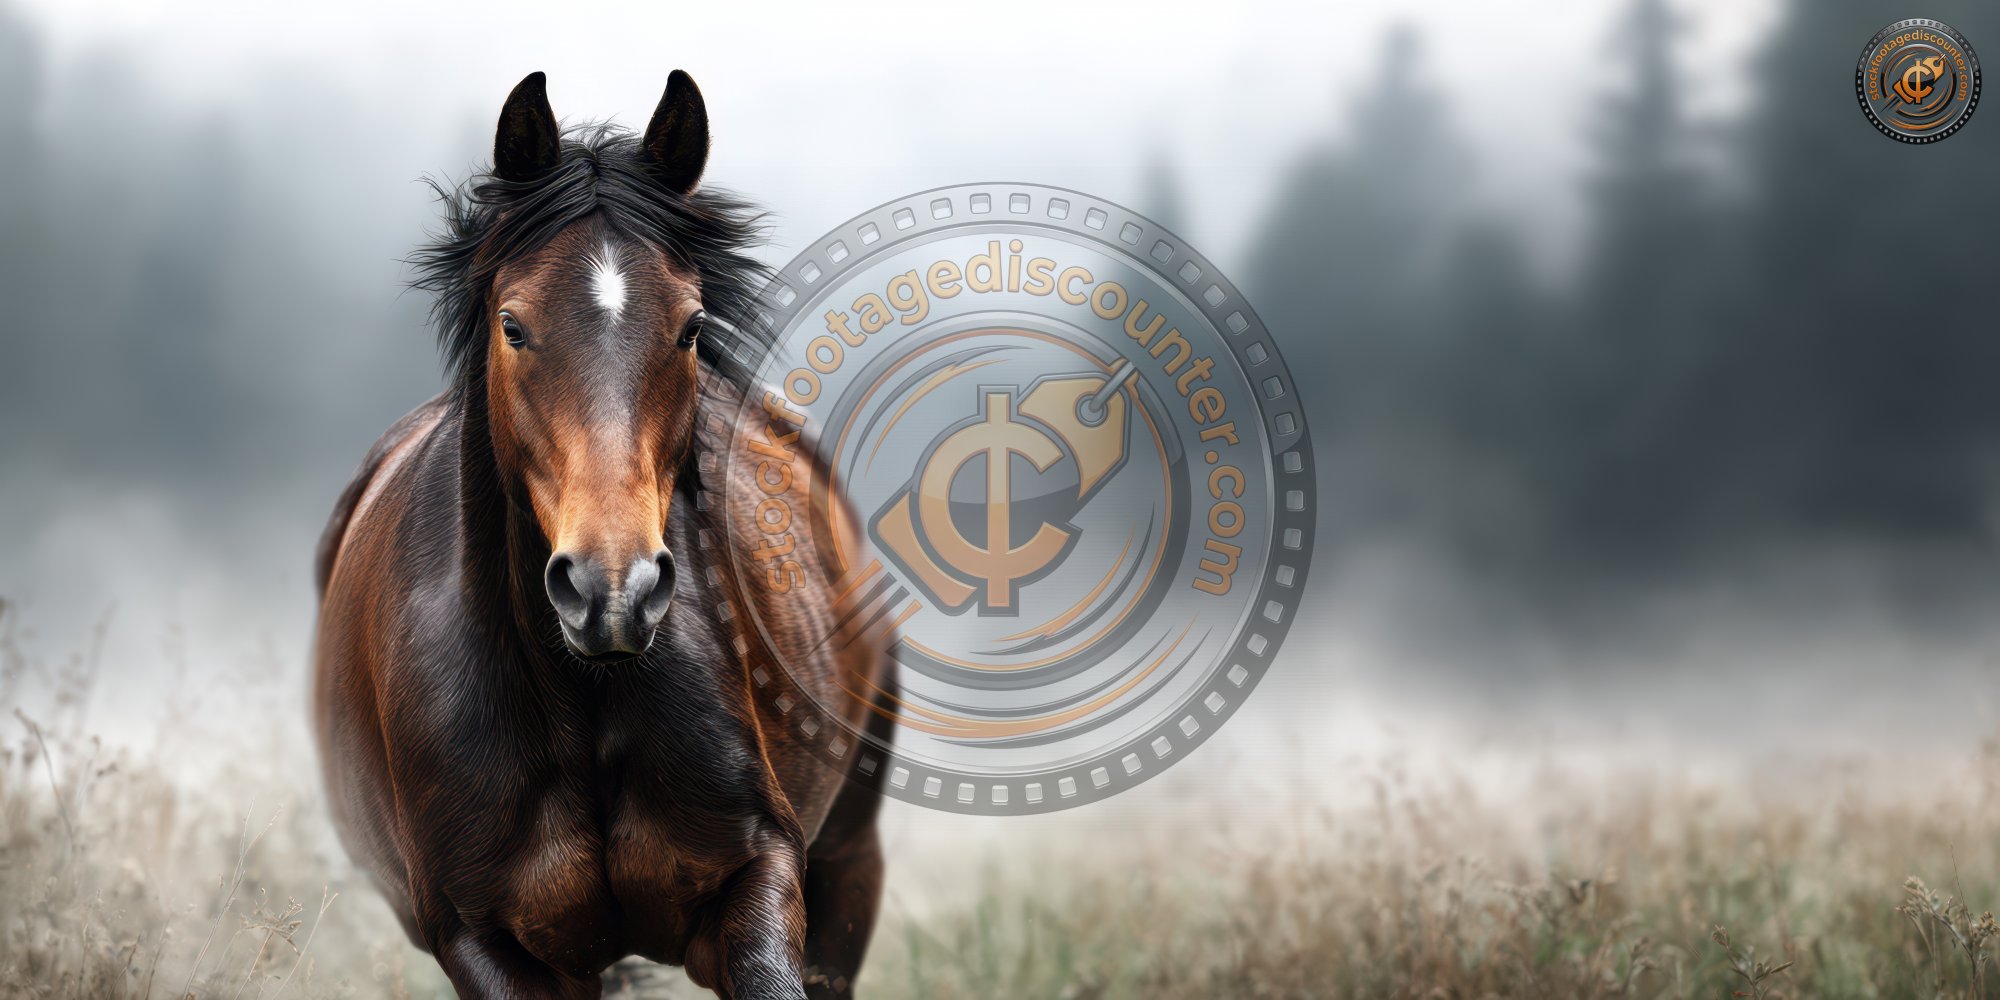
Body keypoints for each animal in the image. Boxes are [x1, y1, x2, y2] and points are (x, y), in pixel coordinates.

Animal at [312, 70, 895, 1000]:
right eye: (512, 325)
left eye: (691, 327)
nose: (611, 592)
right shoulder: (479, 937)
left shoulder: (759, 874)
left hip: (849, 862)